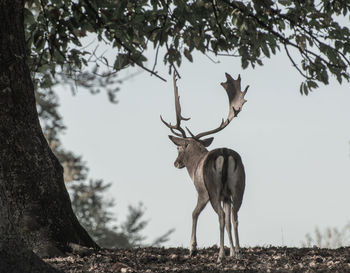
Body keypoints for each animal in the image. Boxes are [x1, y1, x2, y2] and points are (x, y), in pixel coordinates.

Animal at [161, 71, 249, 262]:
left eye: (178, 147)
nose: (176, 163)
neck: (194, 166)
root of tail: (225, 153)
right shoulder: (226, 196)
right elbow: (229, 221)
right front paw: (232, 251)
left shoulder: (201, 191)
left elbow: (194, 213)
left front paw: (192, 248)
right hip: (238, 186)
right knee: (234, 216)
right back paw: (238, 252)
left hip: (213, 188)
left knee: (221, 216)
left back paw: (220, 255)